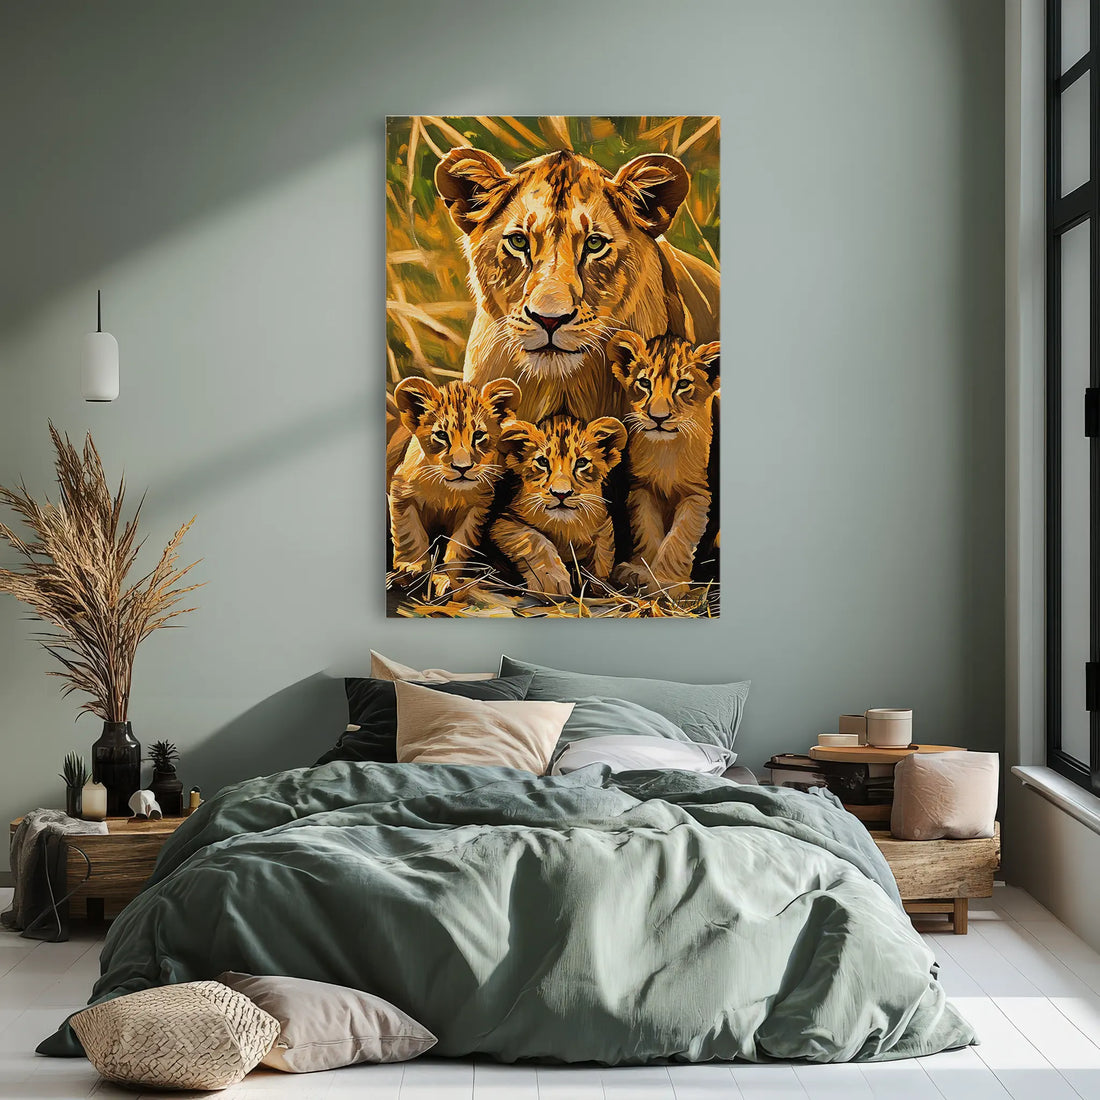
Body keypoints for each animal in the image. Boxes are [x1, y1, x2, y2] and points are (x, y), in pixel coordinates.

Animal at [389, 376, 520, 595]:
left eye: (478, 435)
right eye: (442, 435)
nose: (462, 468)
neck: (447, 491)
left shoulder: (476, 508)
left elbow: (459, 544)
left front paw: (449, 578)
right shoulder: (401, 492)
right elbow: (411, 535)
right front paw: (412, 568)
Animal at [492, 414, 627, 597]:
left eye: (581, 462)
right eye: (542, 461)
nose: (561, 493)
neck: (565, 526)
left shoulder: (603, 526)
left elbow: (602, 555)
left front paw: (599, 586)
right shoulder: (503, 522)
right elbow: (534, 538)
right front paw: (551, 581)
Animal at [606, 331, 720, 593]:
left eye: (683, 384)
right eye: (645, 383)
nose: (658, 418)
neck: (666, 451)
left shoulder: (698, 494)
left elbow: (679, 537)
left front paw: (667, 583)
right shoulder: (643, 489)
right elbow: (647, 531)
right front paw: (639, 572)